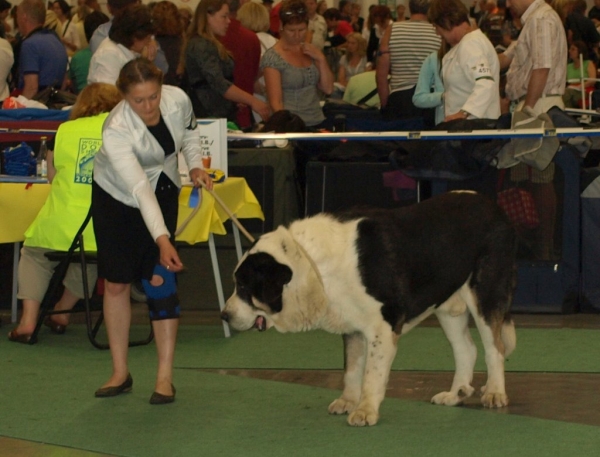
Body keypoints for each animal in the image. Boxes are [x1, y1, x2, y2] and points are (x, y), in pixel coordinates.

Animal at [223, 191, 516, 426]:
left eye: (244, 286)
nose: (224, 314)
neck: (314, 267)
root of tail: (496, 208)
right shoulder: (352, 327)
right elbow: (352, 370)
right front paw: (347, 401)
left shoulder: (382, 328)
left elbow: (371, 375)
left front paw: (365, 410)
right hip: (447, 307)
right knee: (466, 349)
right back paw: (455, 395)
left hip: (485, 295)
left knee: (495, 348)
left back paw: (495, 392)